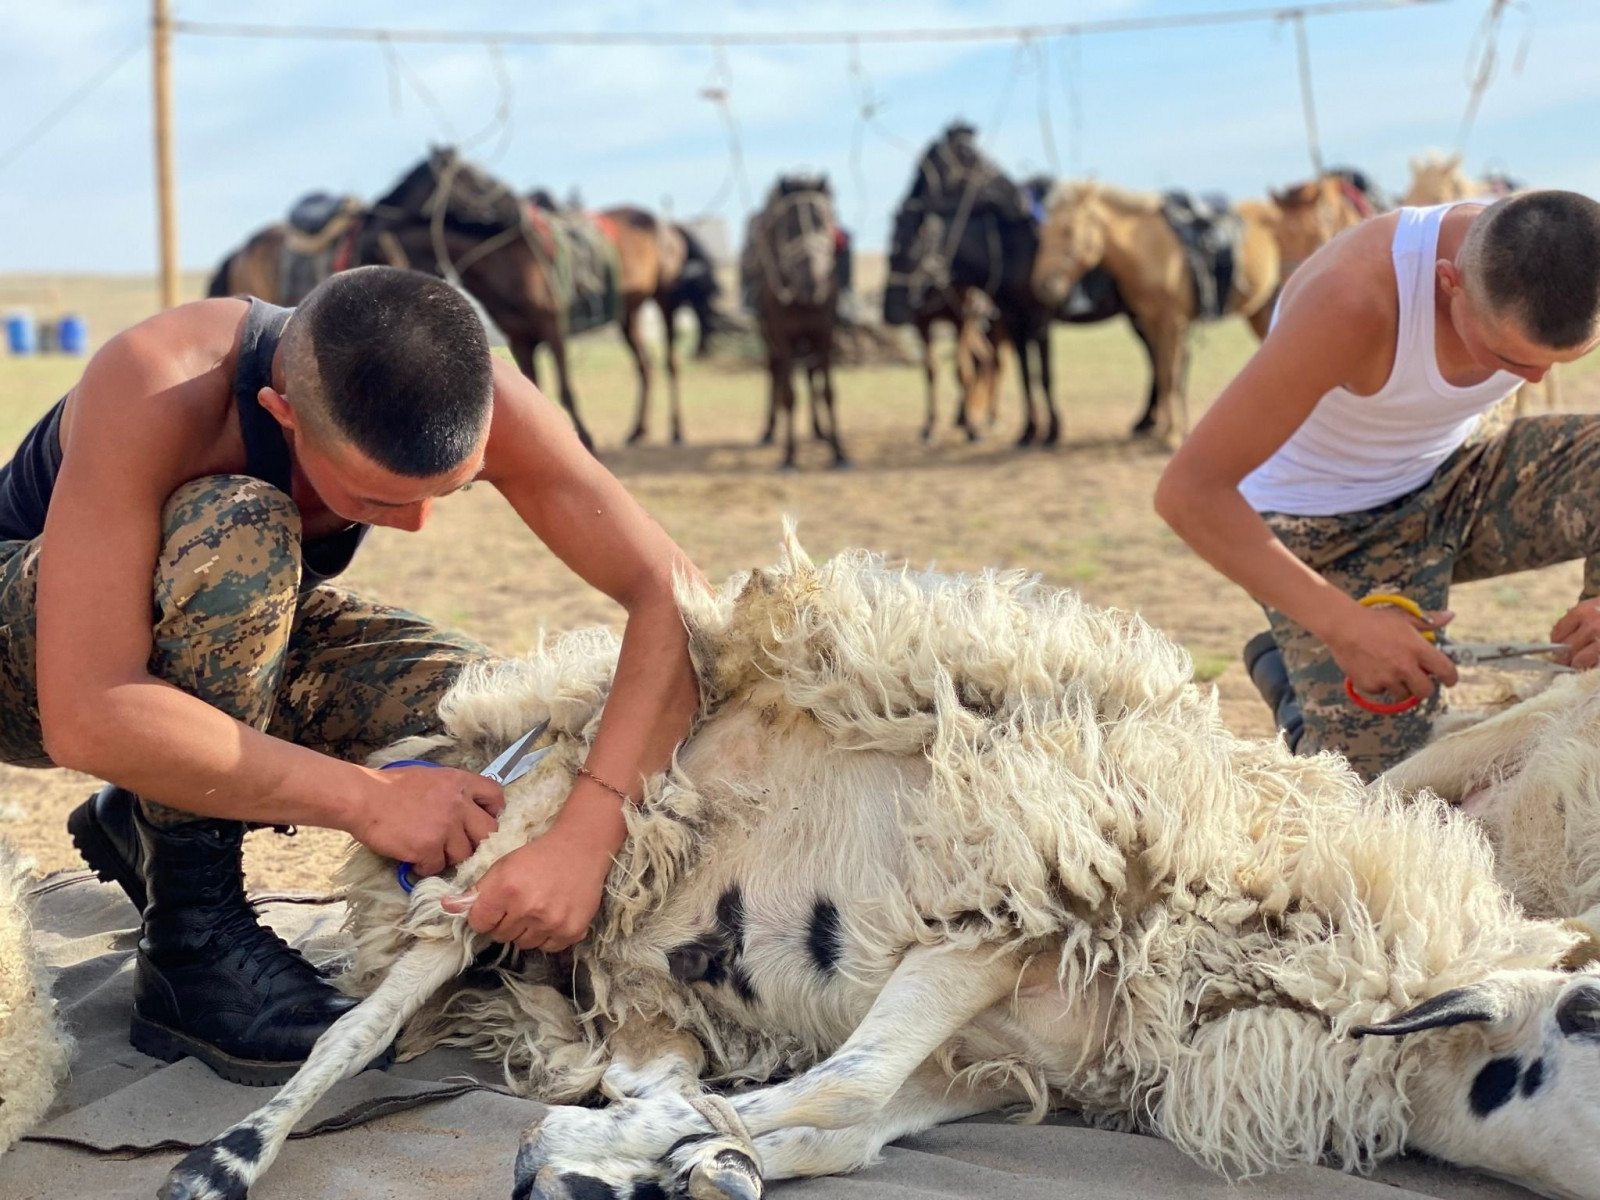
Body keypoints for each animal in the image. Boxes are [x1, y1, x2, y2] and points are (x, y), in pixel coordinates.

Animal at [156, 534, 1600, 1200]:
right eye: (1588, 1010)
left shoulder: (991, 1065)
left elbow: (848, 1123)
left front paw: (673, 1155)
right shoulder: (996, 914)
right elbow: (847, 1083)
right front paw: (608, 1153)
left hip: (623, 979)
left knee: (640, 1048)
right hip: (508, 854)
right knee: (355, 1034)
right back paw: (224, 1157)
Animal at [1030, 185, 1280, 448]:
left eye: (1068, 230)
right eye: (1043, 230)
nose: (1042, 284)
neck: (1148, 249)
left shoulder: (1172, 322)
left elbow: (1171, 374)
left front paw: (1172, 435)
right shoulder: (1151, 322)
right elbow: (1161, 372)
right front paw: (1165, 430)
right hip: (1259, 310)